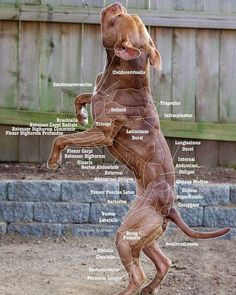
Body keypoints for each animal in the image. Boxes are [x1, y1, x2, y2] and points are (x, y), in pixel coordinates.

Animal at [47, 2, 230, 295]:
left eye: (117, 19)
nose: (117, 5)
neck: (120, 71)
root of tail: (170, 207)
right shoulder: (96, 95)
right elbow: (81, 96)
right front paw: (80, 115)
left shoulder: (102, 135)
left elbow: (61, 139)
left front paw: (54, 161)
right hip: (146, 235)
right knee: (163, 262)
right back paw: (150, 288)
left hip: (127, 235)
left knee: (137, 274)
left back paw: (130, 290)